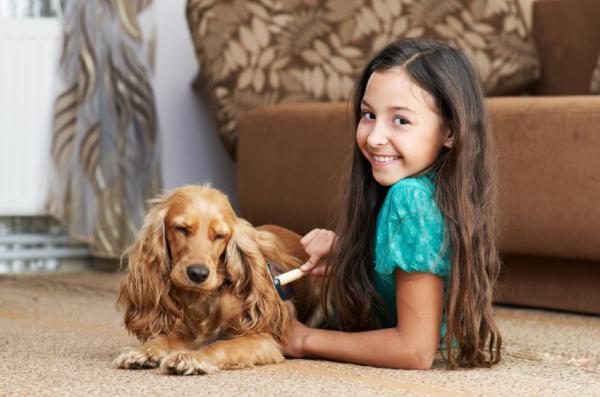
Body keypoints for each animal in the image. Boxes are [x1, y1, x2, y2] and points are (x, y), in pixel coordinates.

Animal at [112, 184, 324, 372]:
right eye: (181, 228)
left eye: (220, 235)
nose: (198, 273)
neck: (205, 300)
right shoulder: (187, 332)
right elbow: (164, 339)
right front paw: (143, 351)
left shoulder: (264, 339)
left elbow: (221, 345)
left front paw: (192, 358)